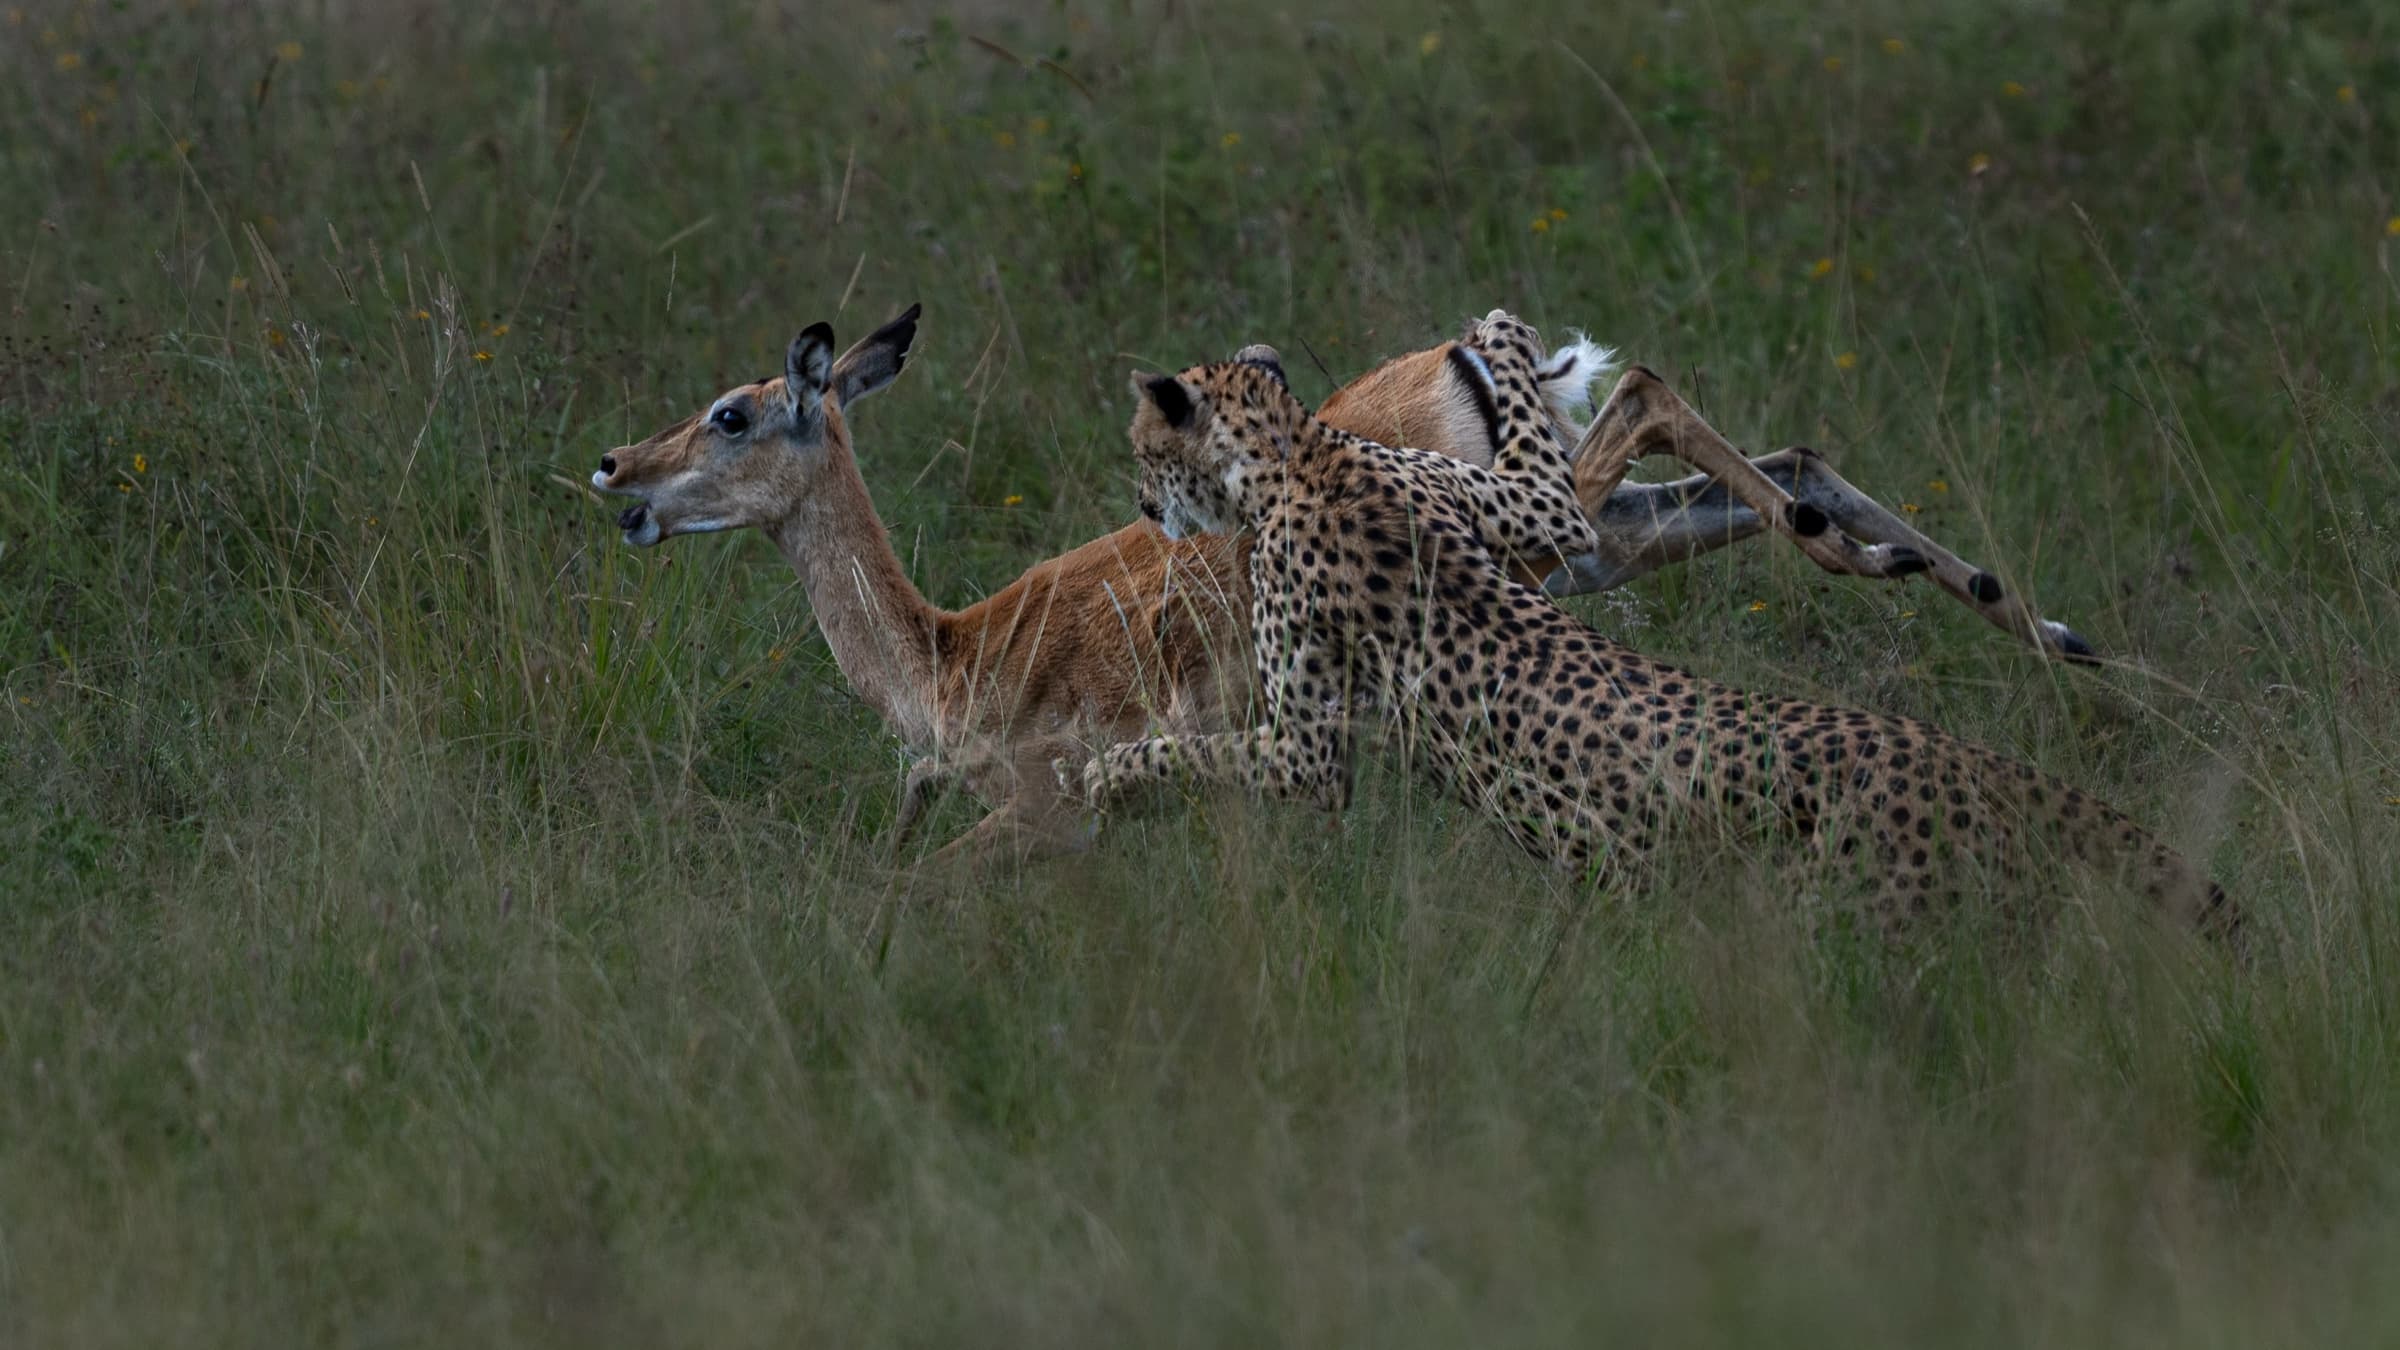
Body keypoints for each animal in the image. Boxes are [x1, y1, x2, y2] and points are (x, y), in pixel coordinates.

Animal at [592, 303, 2091, 864]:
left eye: (731, 412)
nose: (616, 469)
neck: (949, 654)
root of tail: (1465, 358)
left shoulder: (1044, 792)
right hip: (1592, 544)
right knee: (1771, 459)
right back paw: (2021, 613)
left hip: (1549, 535)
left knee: (1659, 408)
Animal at [1065, 310, 2240, 945]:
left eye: (1140, 445)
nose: (1140, 504)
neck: (1302, 456)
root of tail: (1964, 763)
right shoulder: (1523, 513)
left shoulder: (1308, 747)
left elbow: (1195, 751)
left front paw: (1102, 780)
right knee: (1772, 459)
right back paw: (1983, 598)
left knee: (1660, 412)